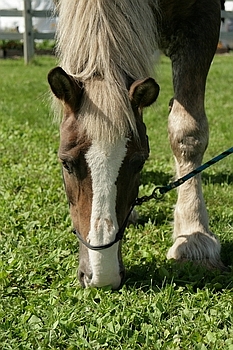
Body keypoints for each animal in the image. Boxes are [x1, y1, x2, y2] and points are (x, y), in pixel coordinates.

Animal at [47, 0, 222, 290]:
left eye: (139, 162)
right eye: (66, 163)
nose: (101, 276)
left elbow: (188, 132)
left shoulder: (201, 20)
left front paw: (193, 233)